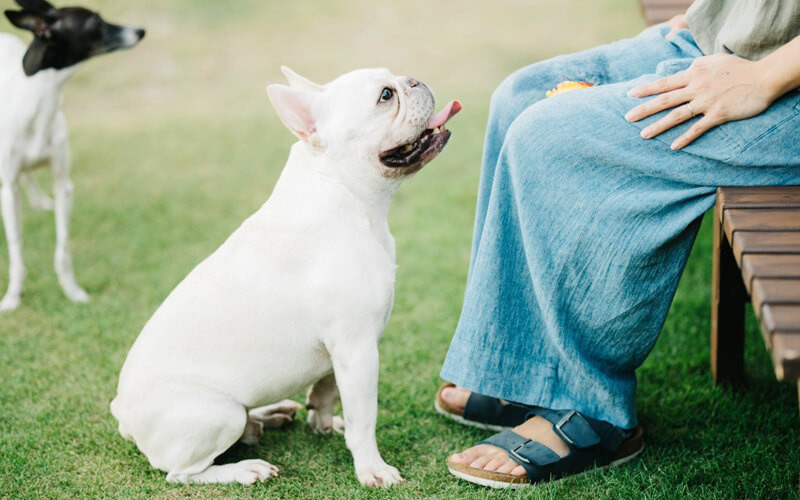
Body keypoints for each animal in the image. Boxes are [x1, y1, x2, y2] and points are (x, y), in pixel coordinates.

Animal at [0, 0, 144, 312]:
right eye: (96, 24)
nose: (140, 30)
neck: (38, 104)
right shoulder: (8, 190)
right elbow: (16, 248)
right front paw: (13, 297)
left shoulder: (63, 186)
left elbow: (63, 248)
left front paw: (72, 291)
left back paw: (40, 201)